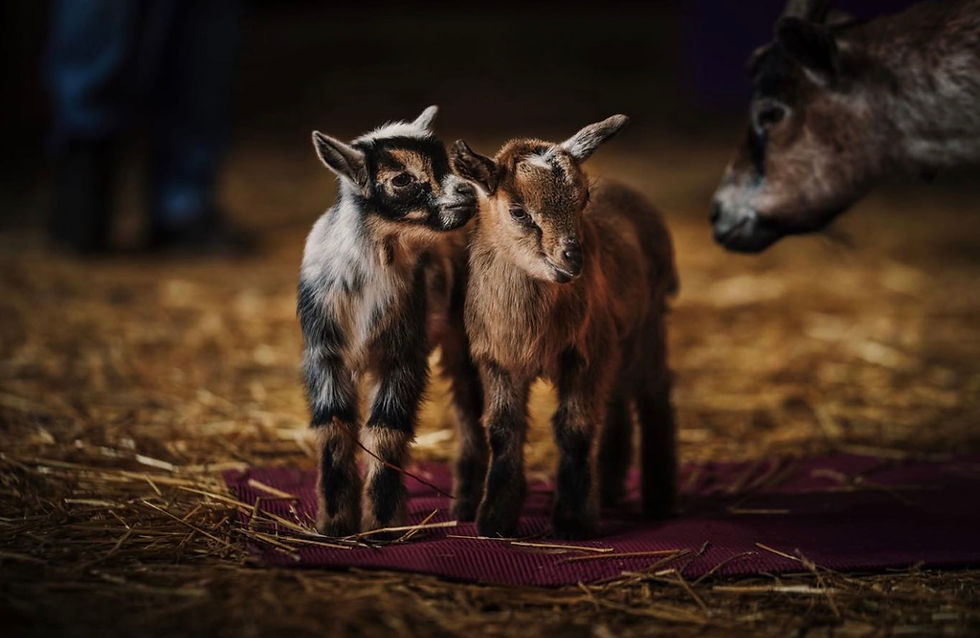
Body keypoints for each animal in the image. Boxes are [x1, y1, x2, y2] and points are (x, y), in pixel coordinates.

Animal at [299, 107, 485, 536]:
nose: (467, 194)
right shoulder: (324, 353)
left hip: (462, 333)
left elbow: (387, 430)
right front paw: (335, 522)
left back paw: (466, 503)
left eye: (446, 161)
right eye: (402, 179)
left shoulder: (403, 353)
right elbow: (333, 427)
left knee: (468, 407)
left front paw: (383, 522)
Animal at [450, 116, 678, 539]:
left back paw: (660, 499)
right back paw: (609, 488)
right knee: (617, 401)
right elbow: (503, 429)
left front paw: (573, 520)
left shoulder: (584, 356)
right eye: (518, 212)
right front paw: (495, 517)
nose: (573, 257)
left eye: (583, 199)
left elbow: (574, 427)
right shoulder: (497, 360)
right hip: (615, 340)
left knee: (654, 396)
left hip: (648, 325)